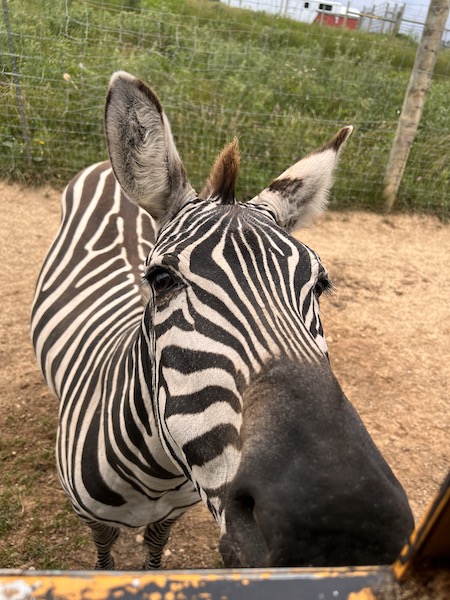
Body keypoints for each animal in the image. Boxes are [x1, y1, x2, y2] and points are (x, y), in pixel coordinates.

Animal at [29, 72, 414, 568]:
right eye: (160, 280)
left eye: (319, 285)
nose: (345, 525)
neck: (159, 474)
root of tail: (103, 166)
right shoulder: (93, 518)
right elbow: (105, 552)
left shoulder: (173, 513)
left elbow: (155, 547)